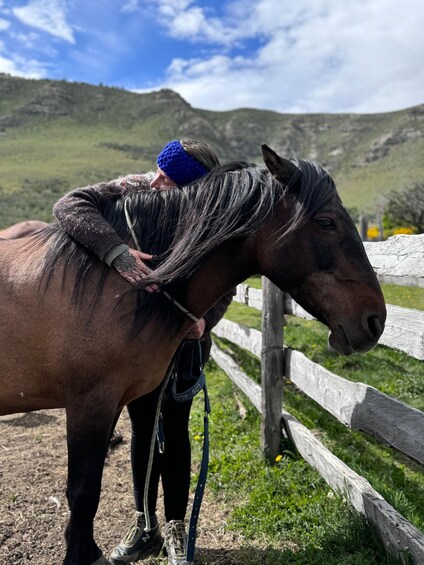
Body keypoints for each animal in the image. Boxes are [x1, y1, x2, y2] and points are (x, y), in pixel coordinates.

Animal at [0, 147, 384, 564]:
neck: (114, 285)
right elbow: (84, 492)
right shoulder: (90, 403)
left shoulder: (123, 400)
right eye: (326, 221)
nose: (375, 320)